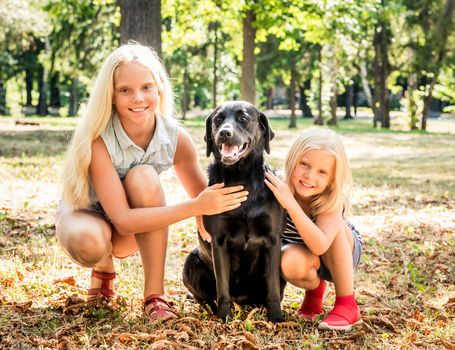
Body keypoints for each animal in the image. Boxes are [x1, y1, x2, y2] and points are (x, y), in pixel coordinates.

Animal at [182, 100, 284, 322]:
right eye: (218, 119)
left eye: (243, 118)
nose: (224, 133)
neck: (241, 178)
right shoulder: (219, 241)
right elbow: (222, 289)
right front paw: (225, 318)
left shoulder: (273, 240)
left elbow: (272, 289)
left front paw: (276, 317)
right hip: (190, 265)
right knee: (207, 299)